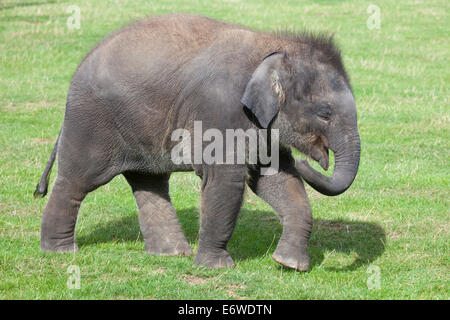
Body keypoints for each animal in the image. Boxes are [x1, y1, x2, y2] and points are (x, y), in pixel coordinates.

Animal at [34, 13, 362, 272]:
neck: (272, 47)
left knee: (149, 182)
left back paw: (171, 253)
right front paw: (216, 267)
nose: (309, 161)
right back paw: (60, 250)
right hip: (91, 122)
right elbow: (226, 180)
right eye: (325, 114)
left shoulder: (262, 125)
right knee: (78, 180)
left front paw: (289, 264)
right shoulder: (220, 111)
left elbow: (278, 180)